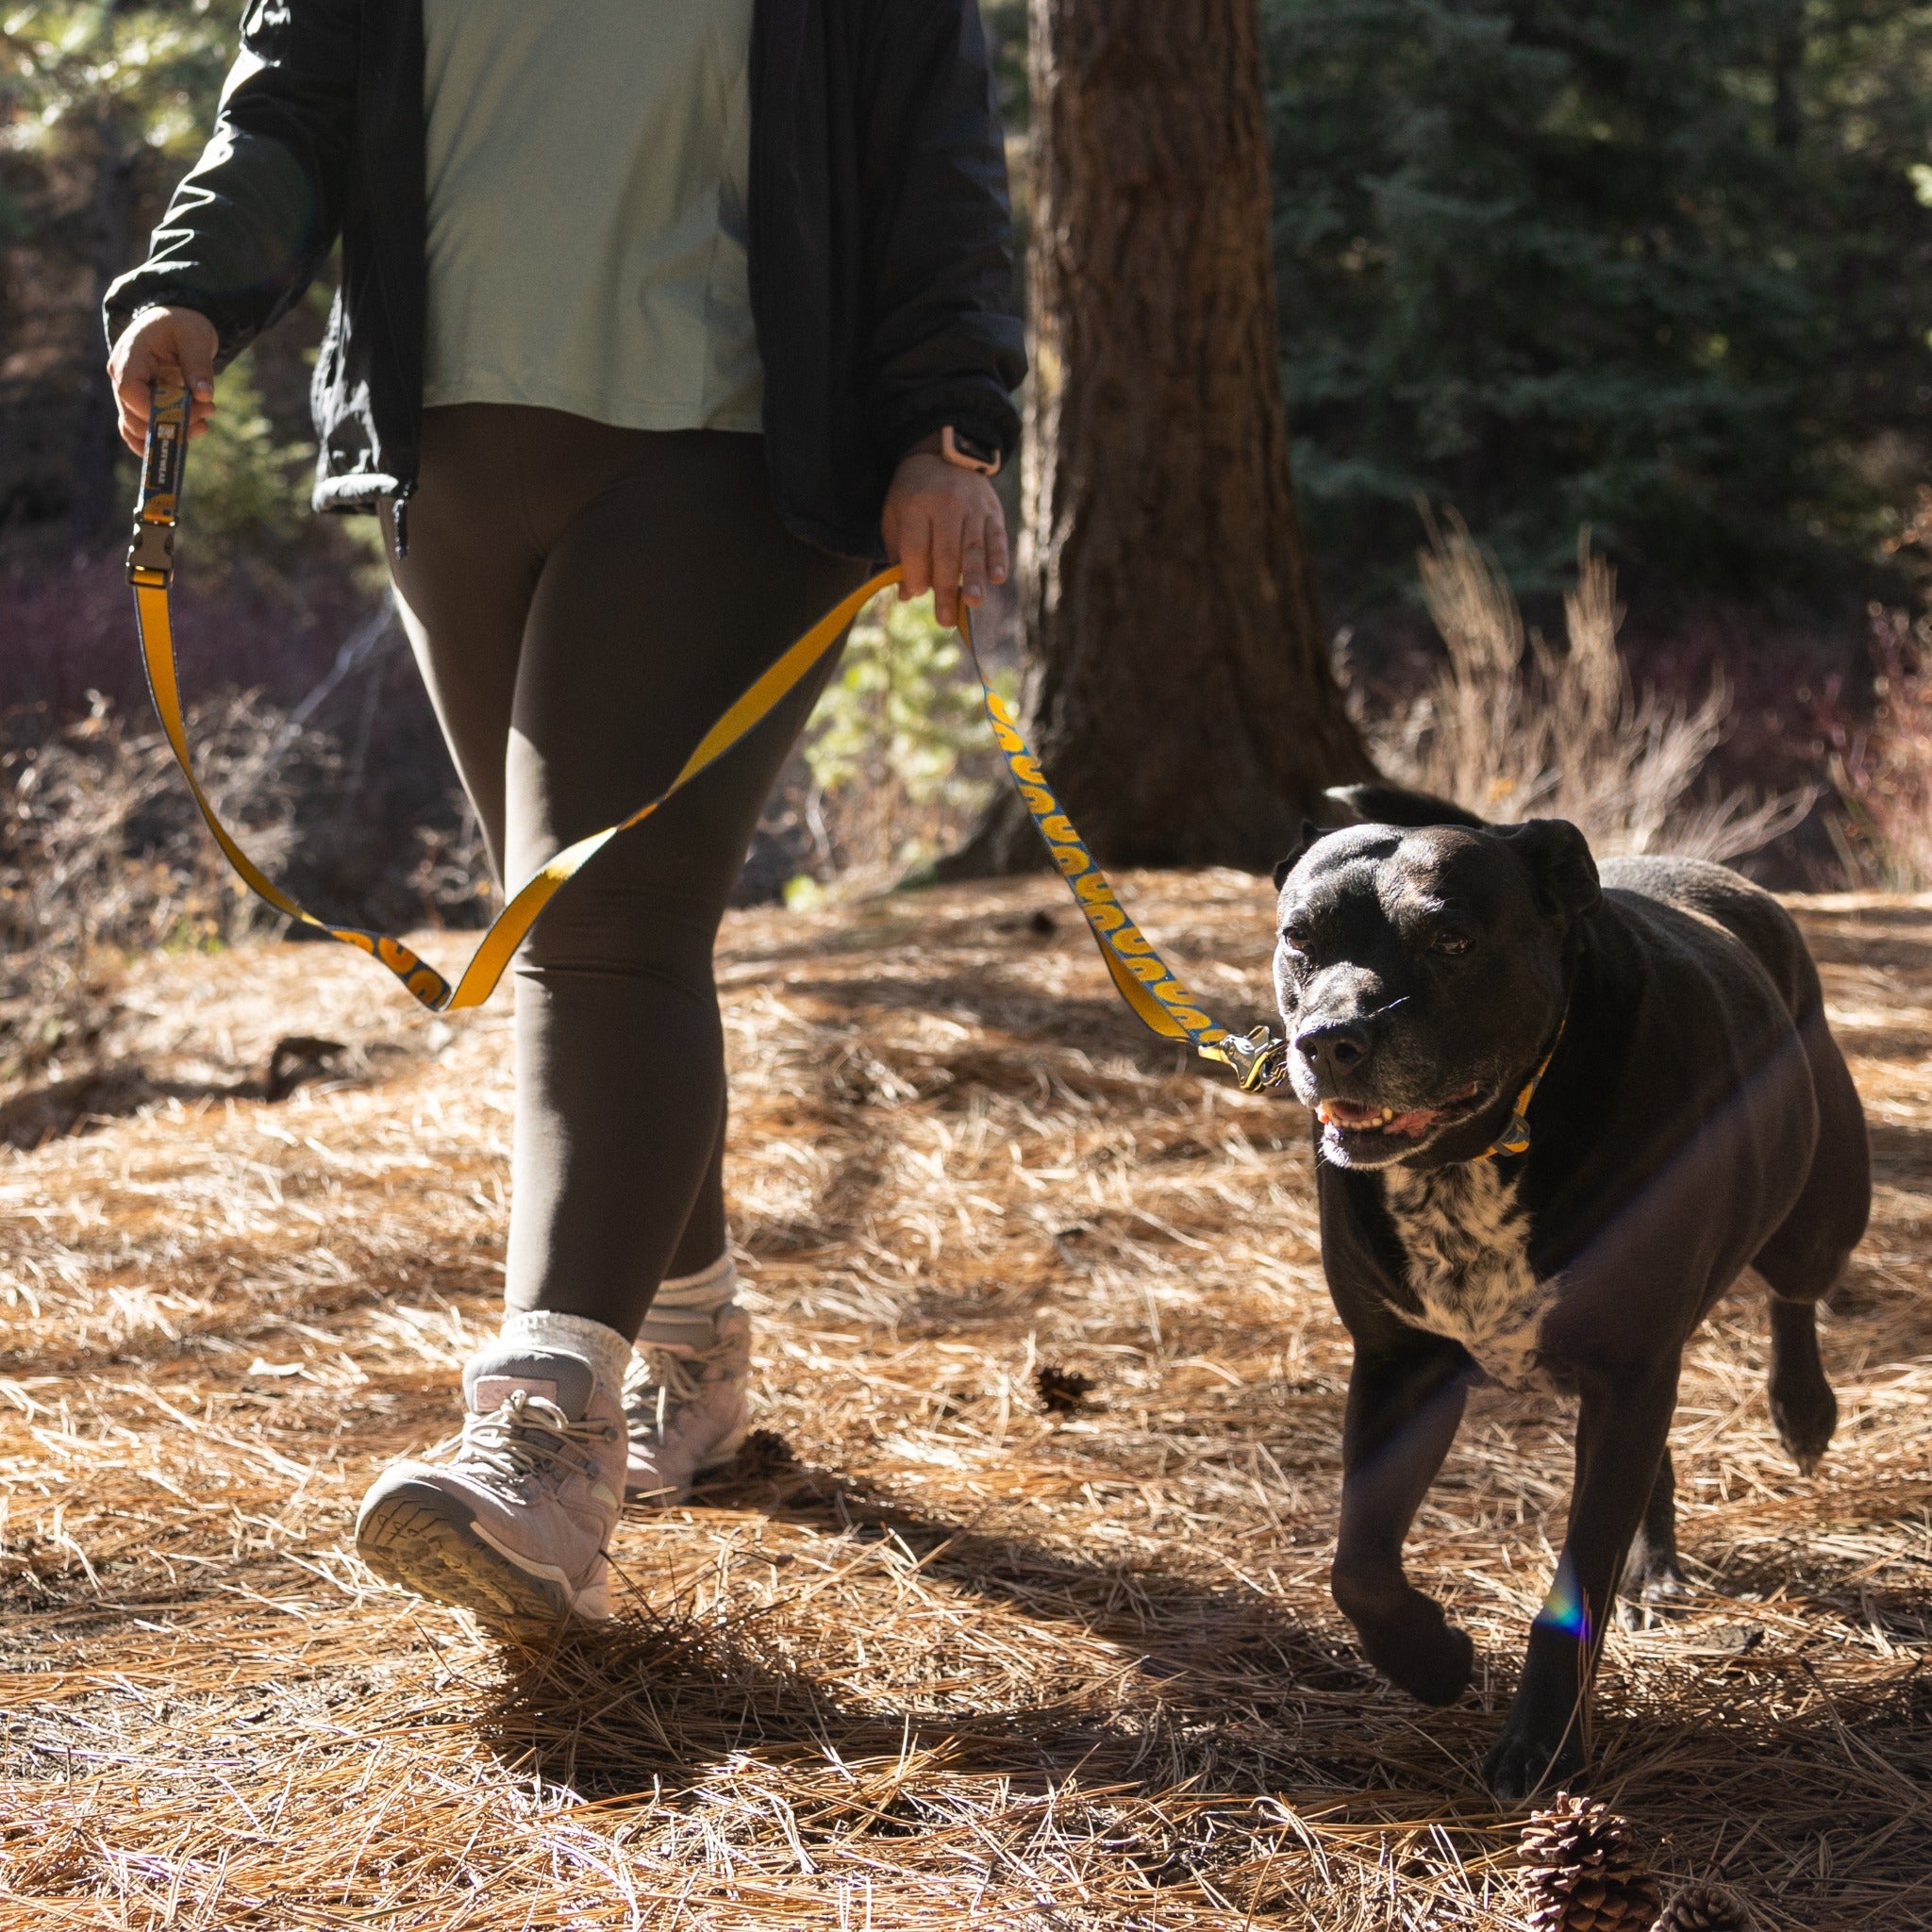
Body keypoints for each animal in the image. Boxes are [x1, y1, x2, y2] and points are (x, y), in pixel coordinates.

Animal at [1274, 780, 1862, 1792]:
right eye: (1298, 938)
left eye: (1452, 940)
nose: (1331, 1040)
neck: (1483, 1148)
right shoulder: (1403, 1363)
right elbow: (1360, 1565)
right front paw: (1431, 1658)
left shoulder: (1627, 1368)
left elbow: (1575, 1579)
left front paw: (1544, 1745)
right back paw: (1656, 1566)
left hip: (1818, 1208)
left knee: (1796, 1290)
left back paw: (1803, 1410)